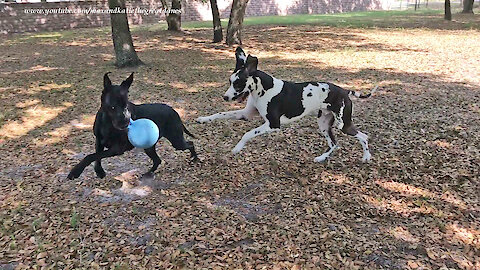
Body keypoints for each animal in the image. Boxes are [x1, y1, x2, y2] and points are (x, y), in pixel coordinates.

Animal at [197, 47, 376, 162]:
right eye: (230, 81)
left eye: (238, 83)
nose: (225, 97)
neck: (264, 89)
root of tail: (345, 90)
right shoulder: (245, 115)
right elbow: (220, 114)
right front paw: (204, 119)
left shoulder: (273, 124)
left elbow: (248, 134)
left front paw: (237, 148)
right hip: (324, 124)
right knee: (334, 144)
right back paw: (321, 158)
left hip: (342, 124)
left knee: (363, 137)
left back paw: (366, 157)